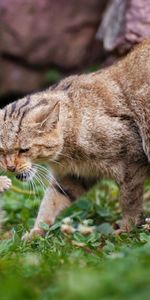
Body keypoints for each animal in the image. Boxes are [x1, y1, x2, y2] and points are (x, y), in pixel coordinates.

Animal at [0, 39, 150, 239]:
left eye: (24, 149)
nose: (10, 167)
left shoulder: (131, 162)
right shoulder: (74, 177)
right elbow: (51, 202)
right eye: (1, 151)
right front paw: (36, 231)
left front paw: (127, 227)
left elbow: (130, 200)